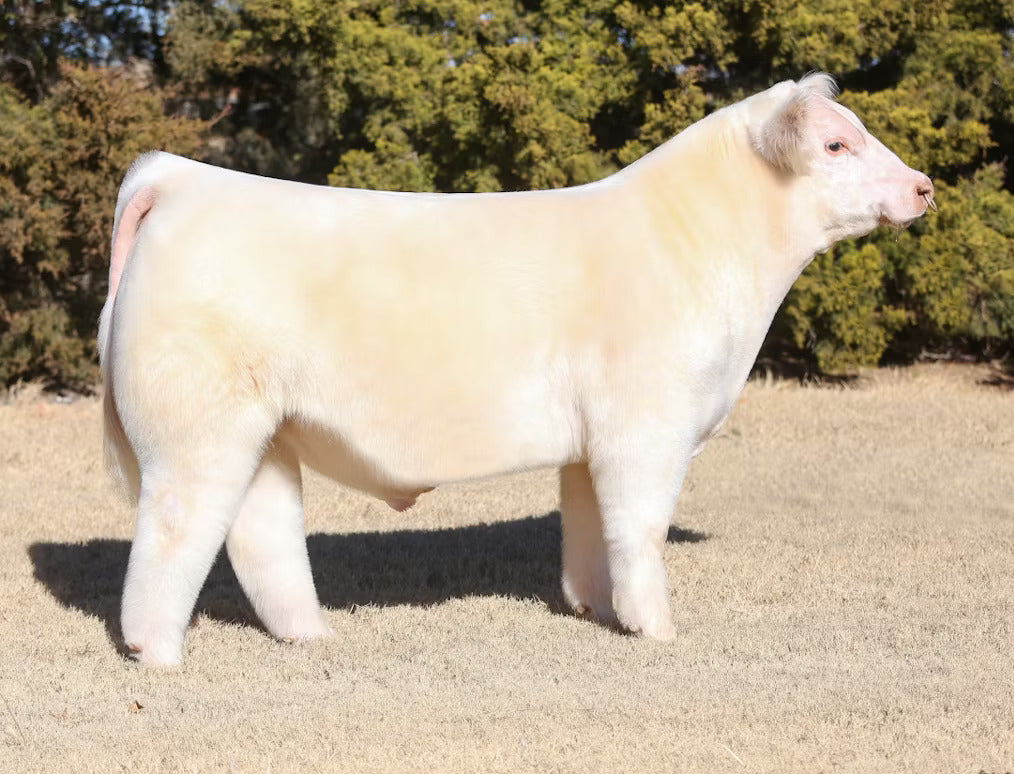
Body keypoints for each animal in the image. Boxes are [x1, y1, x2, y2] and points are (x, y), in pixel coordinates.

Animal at [99, 73, 934, 666]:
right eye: (836, 146)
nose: (923, 186)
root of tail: (184, 178)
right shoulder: (647, 428)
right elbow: (641, 529)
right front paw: (657, 628)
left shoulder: (593, 445)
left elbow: (592, 531)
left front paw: (601, 612)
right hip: (195, 429)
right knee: (173, 532)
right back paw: (157, 654)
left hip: (265, 431)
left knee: (260, 531)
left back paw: (311, 635)